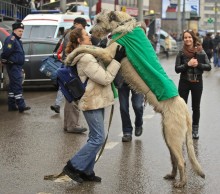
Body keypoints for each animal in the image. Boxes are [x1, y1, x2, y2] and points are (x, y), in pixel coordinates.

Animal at [65, 9, 205, 188]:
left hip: (173, 136)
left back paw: (182, 183)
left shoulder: (108, 53)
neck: (123, 25)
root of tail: (186, 111)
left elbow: (86, 47)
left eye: (98, 20)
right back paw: (172, 176)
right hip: (168, 135)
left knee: (182, 161)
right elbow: (89, 47)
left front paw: (70, 57)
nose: (90, 33)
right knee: (175, 159)